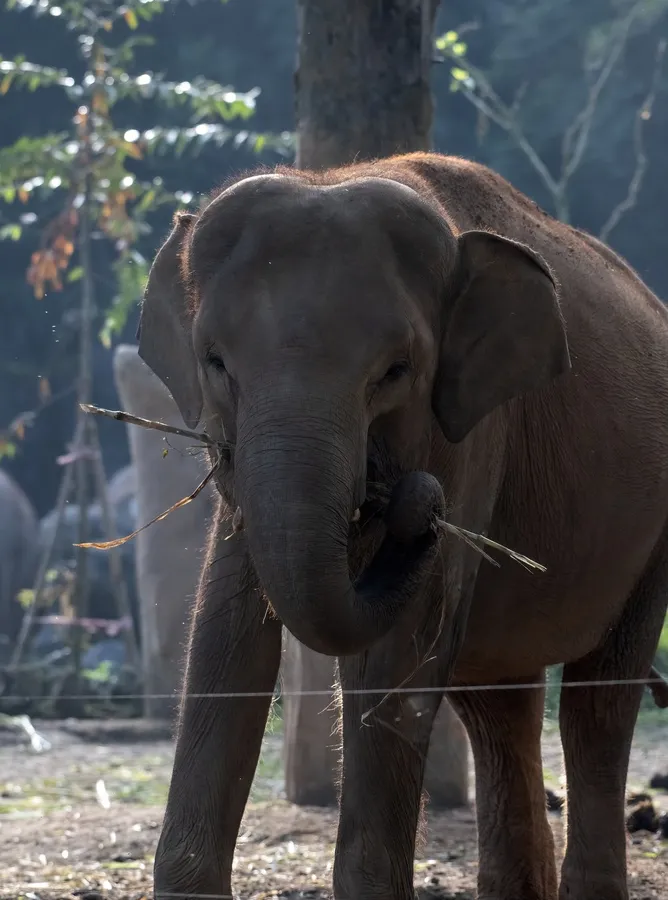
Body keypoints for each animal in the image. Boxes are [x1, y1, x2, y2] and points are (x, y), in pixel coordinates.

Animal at [136, 152, 668, 900]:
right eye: (215, 361)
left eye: (396, 370)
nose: (417, 501)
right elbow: (225, 633)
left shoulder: (470, 437)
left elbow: (398, 653)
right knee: (500, 705)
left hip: (653, 533)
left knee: (599, 702)